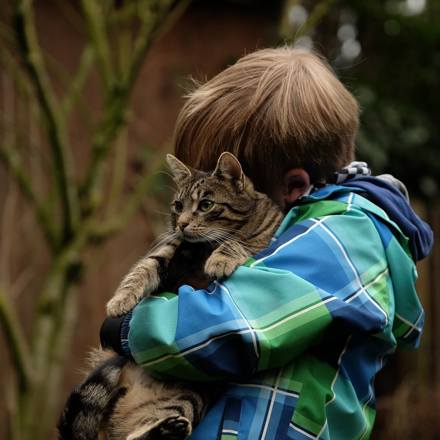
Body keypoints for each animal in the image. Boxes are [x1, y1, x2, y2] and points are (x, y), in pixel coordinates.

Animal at [58, 153, 284, 438]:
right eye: (178, 205)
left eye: (206, 204)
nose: (182, 223)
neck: (202, 248)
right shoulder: (168, 248)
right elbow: (141, 270)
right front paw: (120, 301)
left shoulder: (260, 240)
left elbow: (238, 242)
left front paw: (220, 258)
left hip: (190, 396)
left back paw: (169, 428)